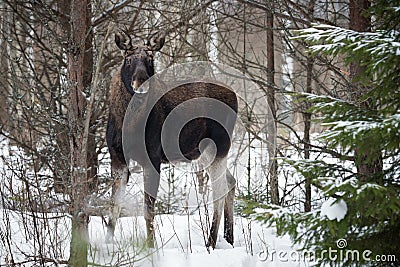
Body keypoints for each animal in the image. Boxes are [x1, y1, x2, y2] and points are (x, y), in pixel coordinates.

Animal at [106, 30, 238, 249]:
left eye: (150, 59)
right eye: (128, 59)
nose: (140, 81)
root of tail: (235, 95)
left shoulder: (152, 156)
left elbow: (148, 209)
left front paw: (151, 247)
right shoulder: (117, 158)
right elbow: (114, 206)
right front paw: (106, 245)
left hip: (219, 146)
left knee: (219, 189)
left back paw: (211, 242)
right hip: (205, 151)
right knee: (231, 181)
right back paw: (229, 239)